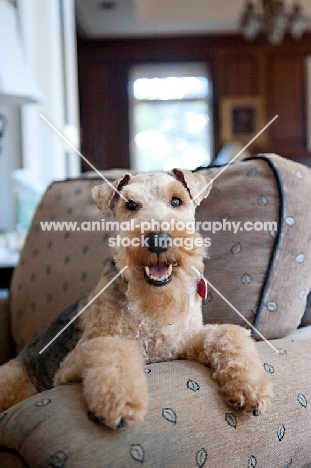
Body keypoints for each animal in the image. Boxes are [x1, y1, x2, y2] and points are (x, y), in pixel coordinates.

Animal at [0, 168, 272, 428]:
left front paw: (250, 389)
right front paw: (121, 404)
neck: (153, 307)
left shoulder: (181, 342)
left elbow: (226, 333)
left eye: (177, 200)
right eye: (130, 204)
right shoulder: (69, 366)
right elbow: (112, 349)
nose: (158, 239)